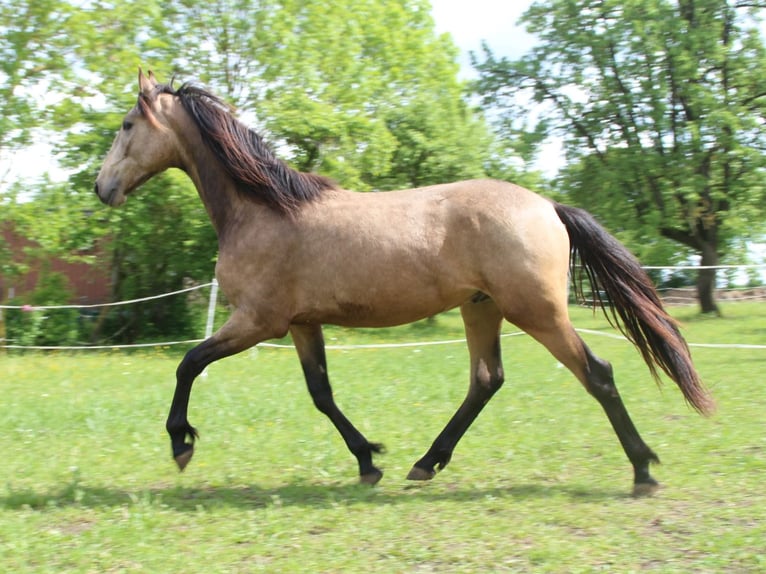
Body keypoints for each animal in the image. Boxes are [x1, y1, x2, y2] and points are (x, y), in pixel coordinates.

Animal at [95, 70, 713, 496]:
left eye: (126, 126)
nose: (103, 188)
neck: (263, 209)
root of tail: (548, 206)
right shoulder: (301, 325)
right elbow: (321, 394)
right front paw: (369, 459)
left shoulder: (255, 322)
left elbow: (188, 363)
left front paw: (181, 442)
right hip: (482, 308)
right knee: (486, 380)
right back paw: (425, 462)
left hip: (536, 312)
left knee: (597, 374)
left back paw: (643, 469)